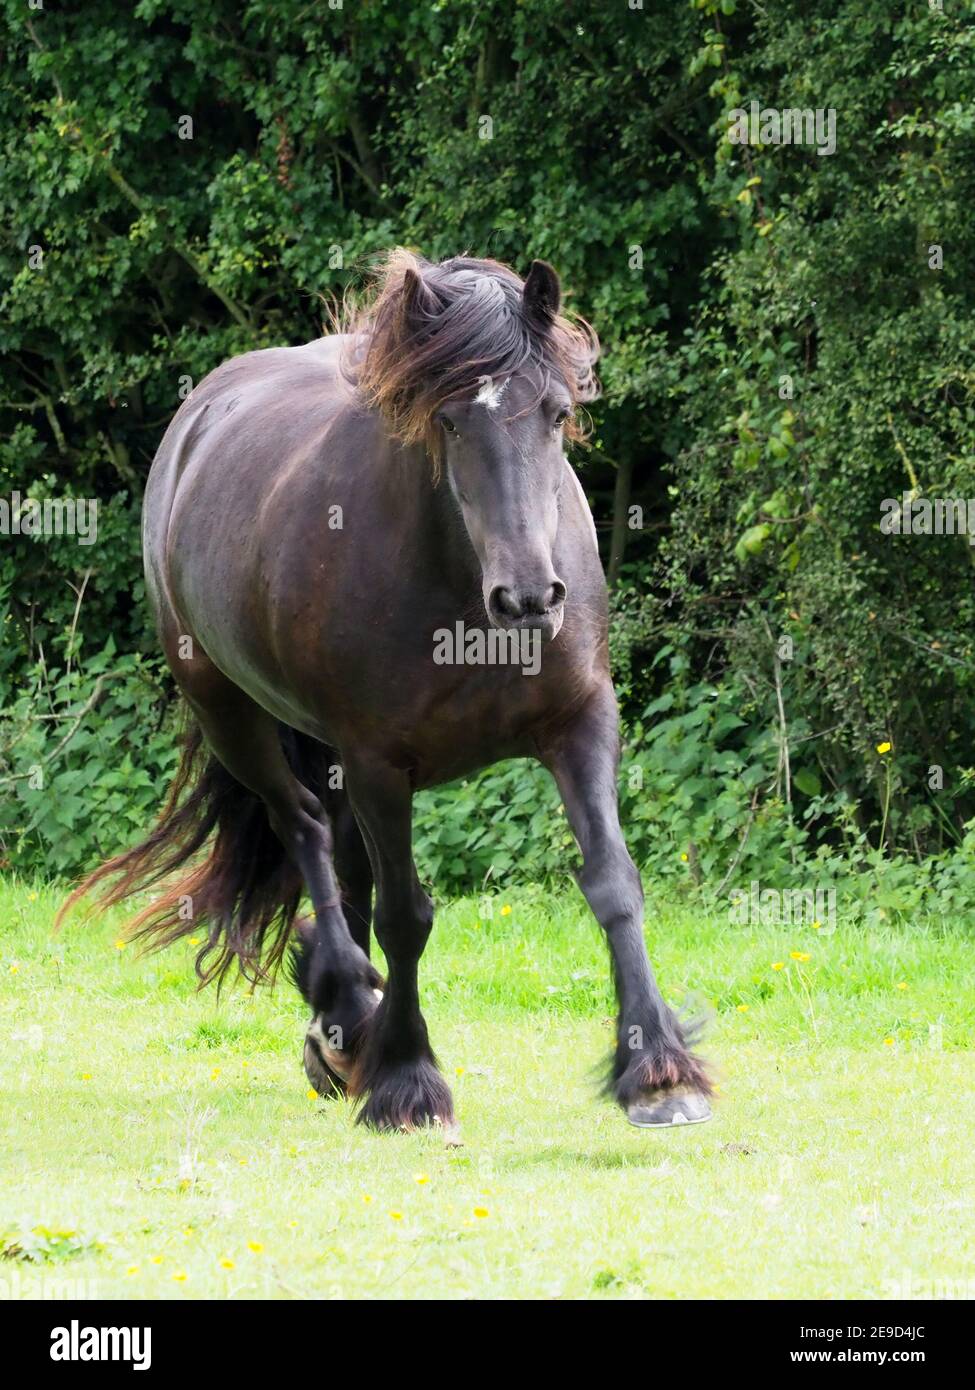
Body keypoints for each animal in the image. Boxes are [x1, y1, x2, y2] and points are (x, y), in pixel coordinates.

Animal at [66, 250, 706, 1134]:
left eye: (555, 411)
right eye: (448, 422)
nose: (528, 599)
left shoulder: (579, 724)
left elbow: (612, 881)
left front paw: (658, 1070)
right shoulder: (378, 763)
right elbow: (405, 918)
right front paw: (406, 1081)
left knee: (341, 859)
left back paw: (344, 1030)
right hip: (234, 717)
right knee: (305, 830)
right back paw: (344, 1005)